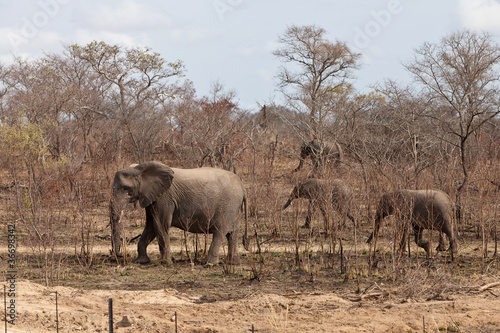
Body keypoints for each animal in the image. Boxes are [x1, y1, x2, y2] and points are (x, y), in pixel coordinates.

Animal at [111, 161, 248, 264]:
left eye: (126, 189)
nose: (120, 254)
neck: (140, 168)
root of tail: (242, 187)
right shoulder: (153, 197)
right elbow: (150, 226)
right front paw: (141, 261)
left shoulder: (165, 197)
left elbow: (160, 225)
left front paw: (164, 263)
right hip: (233, 207)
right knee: (233, 234)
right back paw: (233, 263)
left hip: (227, 205)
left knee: (220, 231)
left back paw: (209, 263)